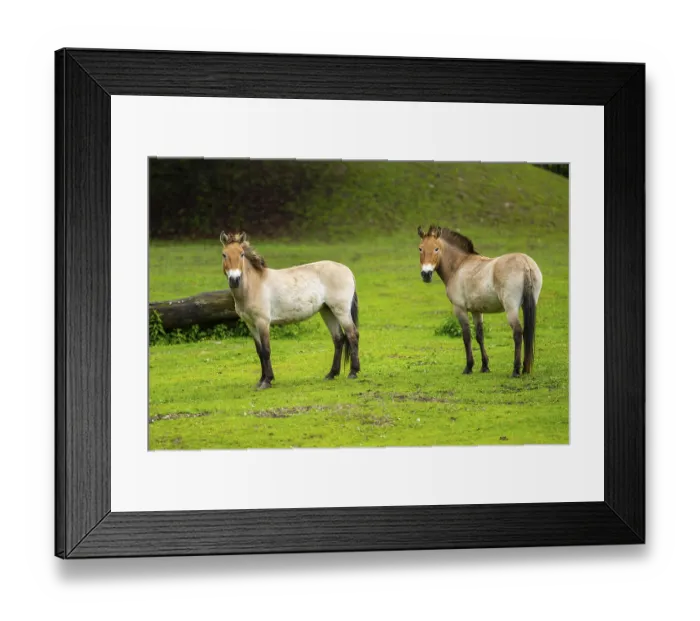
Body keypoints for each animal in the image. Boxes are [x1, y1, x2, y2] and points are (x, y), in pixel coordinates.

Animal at [220, 231, 360, 389]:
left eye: (242, 254)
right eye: (224, 255)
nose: (234, 280)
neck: (254, 285)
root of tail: (347, 270)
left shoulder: (263, 322)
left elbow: (266, 350)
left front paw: (267, 381)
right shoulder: (251, 324)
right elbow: (259, 351)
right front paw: (261, 380)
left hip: (341, 311)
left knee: (352, 335)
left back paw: (353, 372)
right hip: (327, 311)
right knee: (338, 339)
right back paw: (331, 374)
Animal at [417, 225, 543, 378]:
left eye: (436, 249)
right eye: (420, 248)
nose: (426, 274)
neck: (459, 266)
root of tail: (525, 263)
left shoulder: (460, 309)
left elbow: (466, 336)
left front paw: (468, 367)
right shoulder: (477, 311)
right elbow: (479, 336)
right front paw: (485, 366)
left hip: (511, 308)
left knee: (518, 333)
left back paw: (516, 370)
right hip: (527, 305)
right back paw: (525, 369)